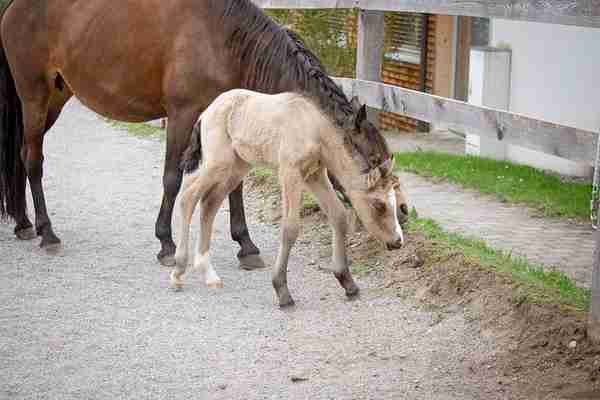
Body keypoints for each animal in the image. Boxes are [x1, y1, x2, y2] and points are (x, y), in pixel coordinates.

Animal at [0, 1, 408, 268]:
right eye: (373, 161)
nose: (401, 215)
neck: (226, 43)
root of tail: (15, 8)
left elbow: (235, 188)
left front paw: (246, 245)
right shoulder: (182, 116)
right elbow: (172, 178)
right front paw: (166, 243)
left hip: (55, 98)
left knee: (20, 155)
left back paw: (23, 223)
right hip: (34, 96)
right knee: (33, 160)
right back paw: (47, 232)